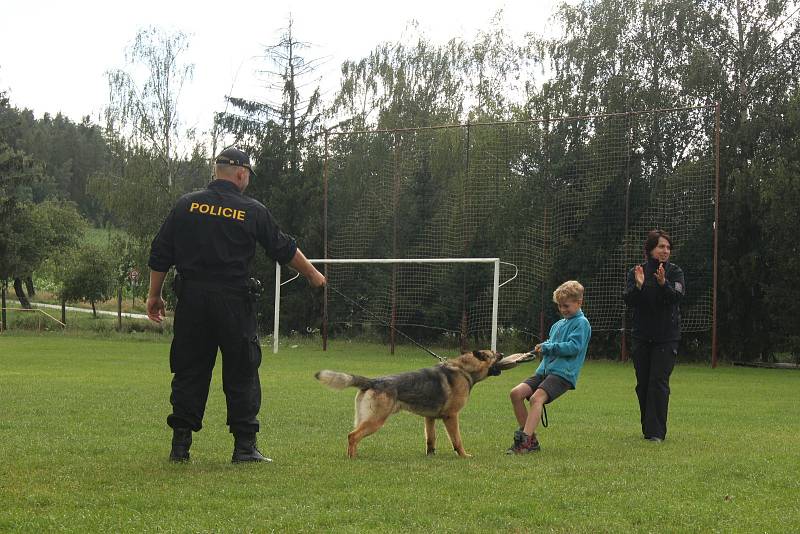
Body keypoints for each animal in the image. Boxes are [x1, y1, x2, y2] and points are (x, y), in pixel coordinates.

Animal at [312, 352, 500, 460]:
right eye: (495, 355)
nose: (504, 353)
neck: (464, 369)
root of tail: (373, 381)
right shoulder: (451, 417)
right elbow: (457, 440)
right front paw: (463, 455)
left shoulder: (429, 418)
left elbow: (430, 439)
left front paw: (430, 456)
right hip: (375, 421)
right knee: (352, 436)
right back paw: (353, 459)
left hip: (365, 419)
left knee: (354, 436)